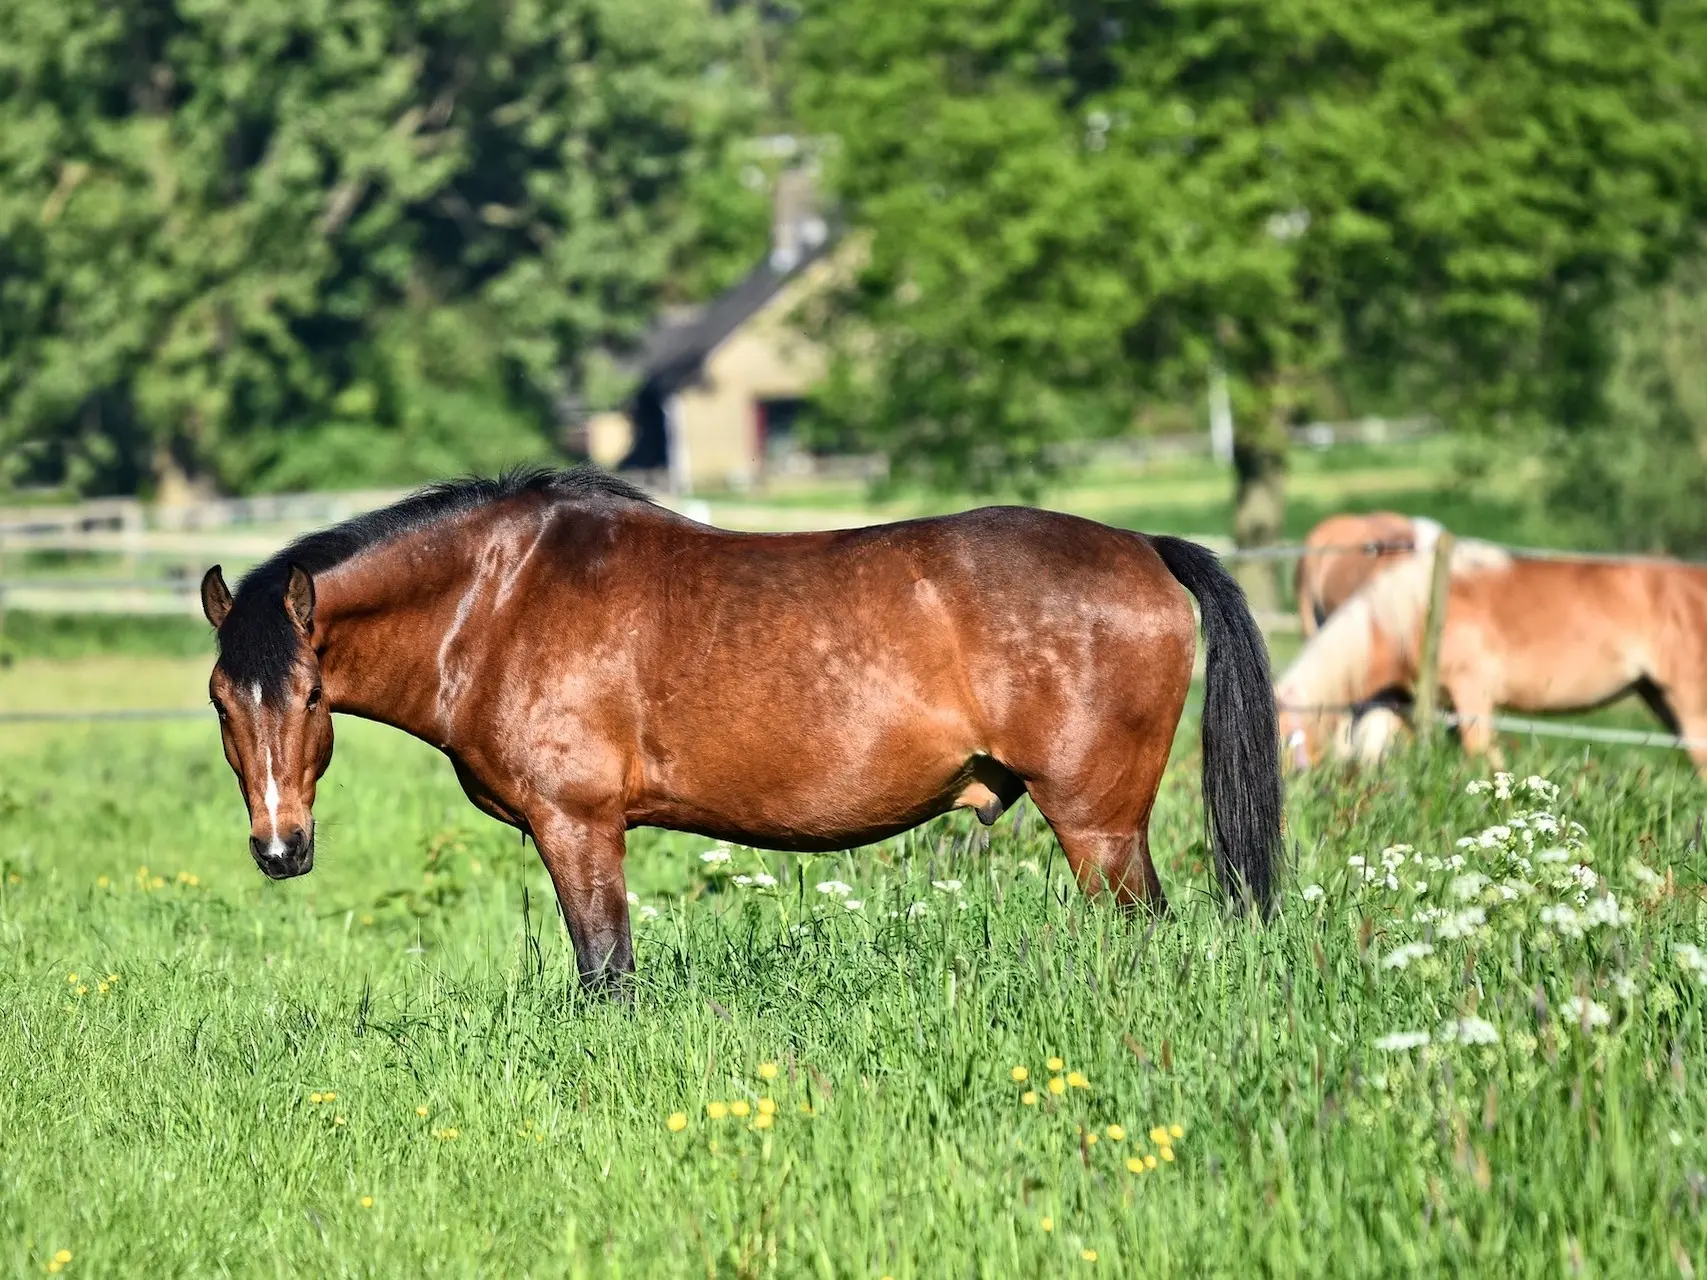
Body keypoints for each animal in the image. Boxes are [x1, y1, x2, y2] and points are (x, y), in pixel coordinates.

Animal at [199, 467, 1283, 989]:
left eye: (308, 694)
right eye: (220, 698)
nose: (280, 847)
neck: (497, 596)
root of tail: (1141, 545)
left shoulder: (578, 826)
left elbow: (606, 972)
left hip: (1098, 823)